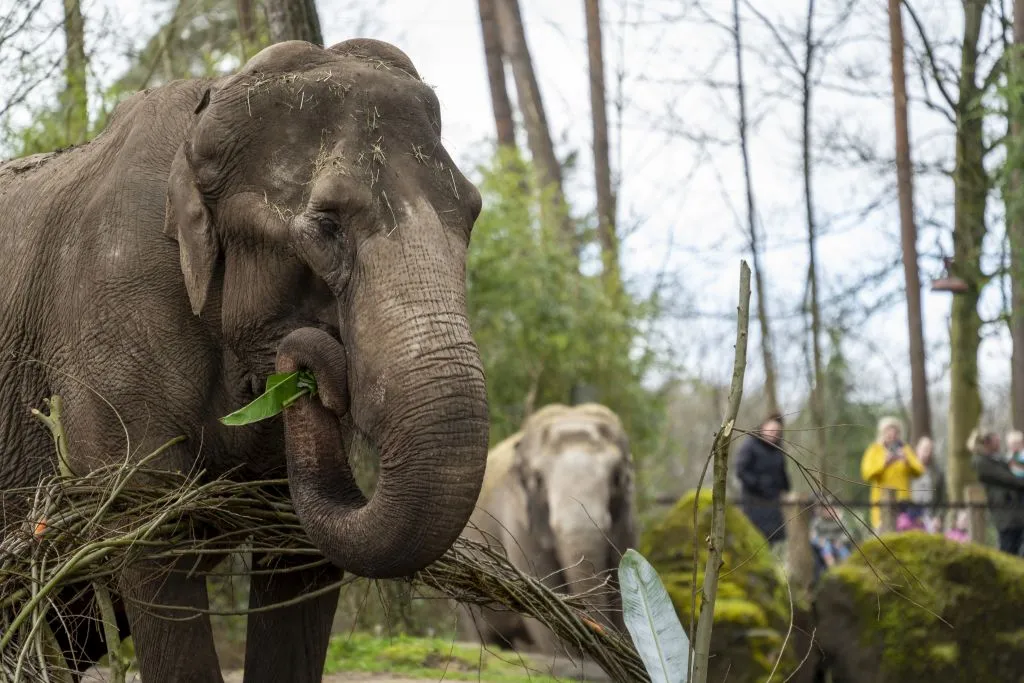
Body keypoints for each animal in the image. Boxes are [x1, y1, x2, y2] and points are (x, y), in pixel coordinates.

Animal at [0, 37, 491, 683]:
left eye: (473, 214)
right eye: (327, 224)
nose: (313, 365)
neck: (206, 110)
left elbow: (300, 553)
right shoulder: (105, 325)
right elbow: (154, 534)